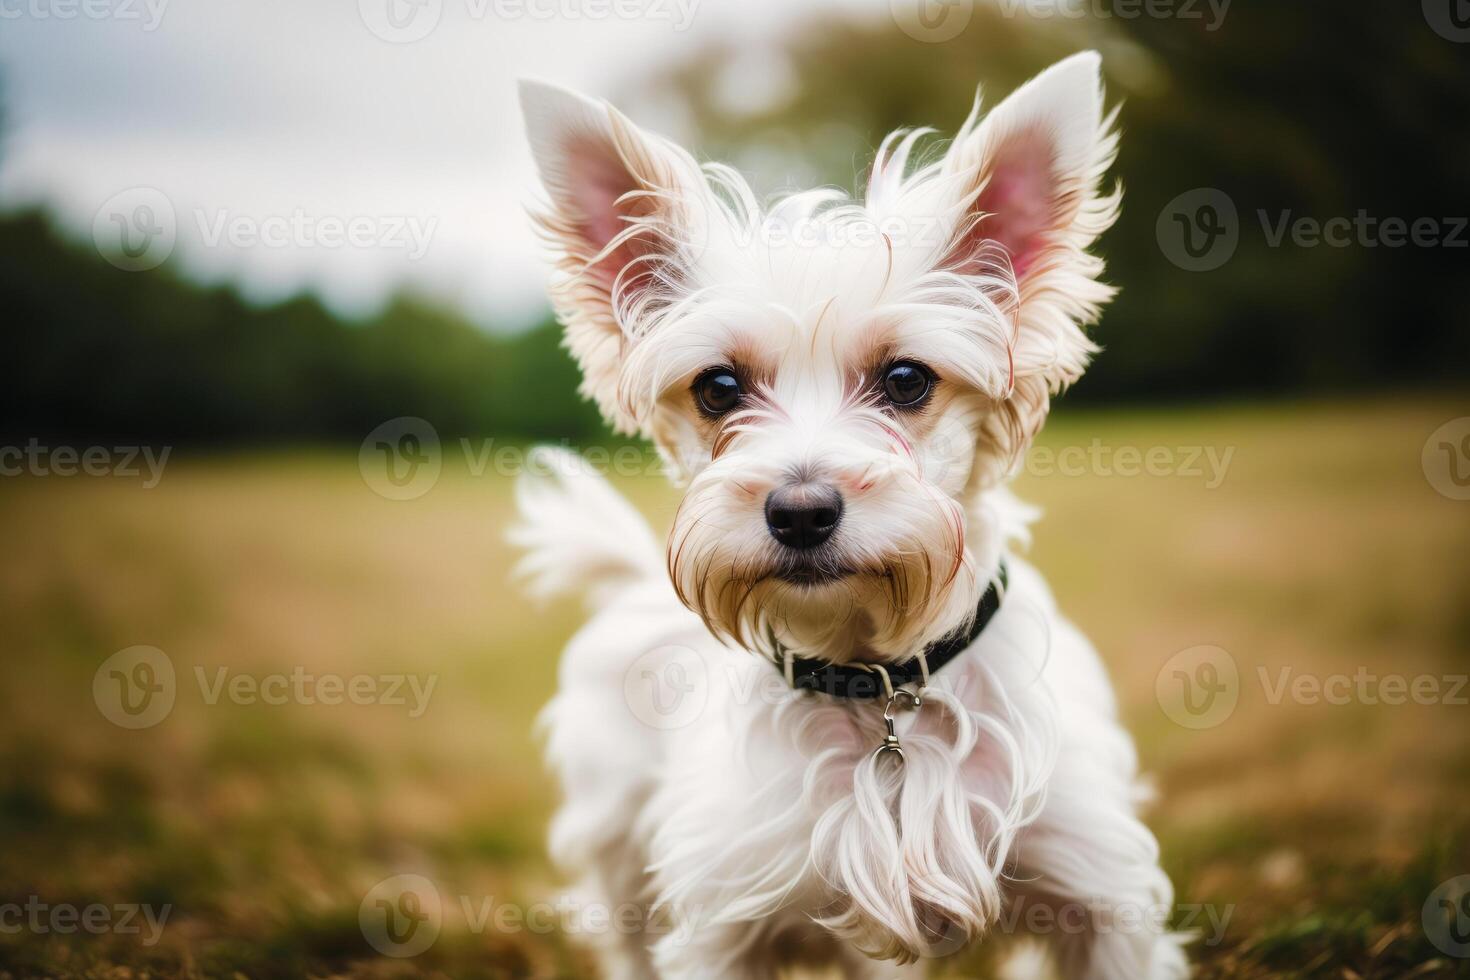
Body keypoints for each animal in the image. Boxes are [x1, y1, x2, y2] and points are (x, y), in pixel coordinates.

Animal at [511, 55, 1187, 980]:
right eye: (717, 388)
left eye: (906, 380)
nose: (800, 511)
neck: (879, 682)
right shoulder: (721, 919)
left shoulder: (1102, 897)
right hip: (618, 853)